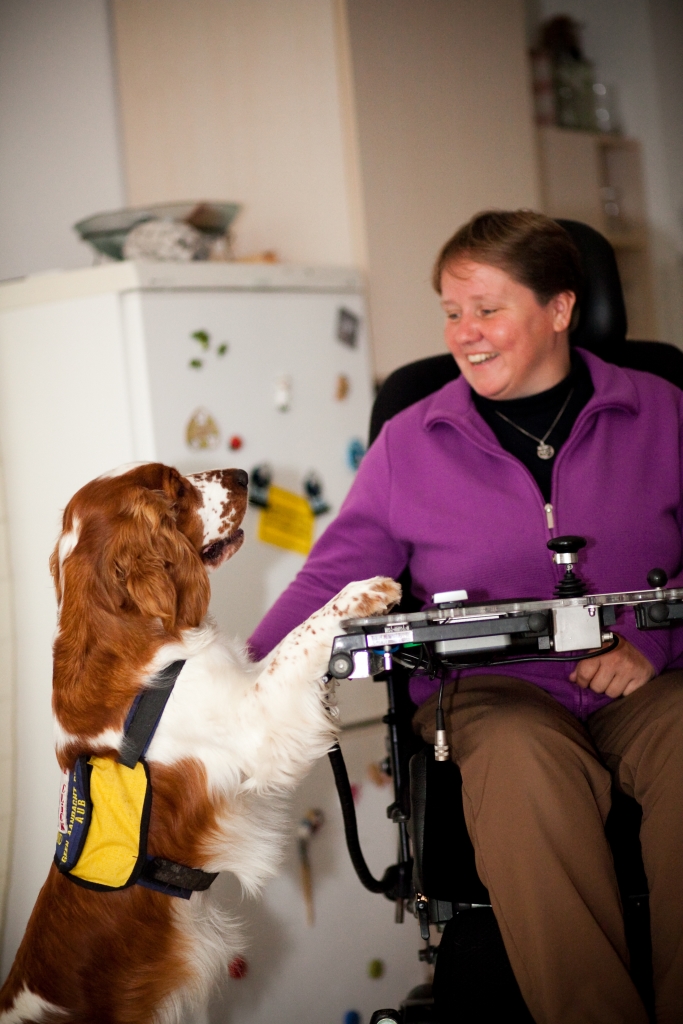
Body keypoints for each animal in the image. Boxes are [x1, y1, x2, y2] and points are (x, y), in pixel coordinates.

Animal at [0, 464, 401, 1024]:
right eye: (174, 489)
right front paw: (364, 590)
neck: (124, 630)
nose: (244, 474)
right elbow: (301, 636)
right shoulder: (254, 719)